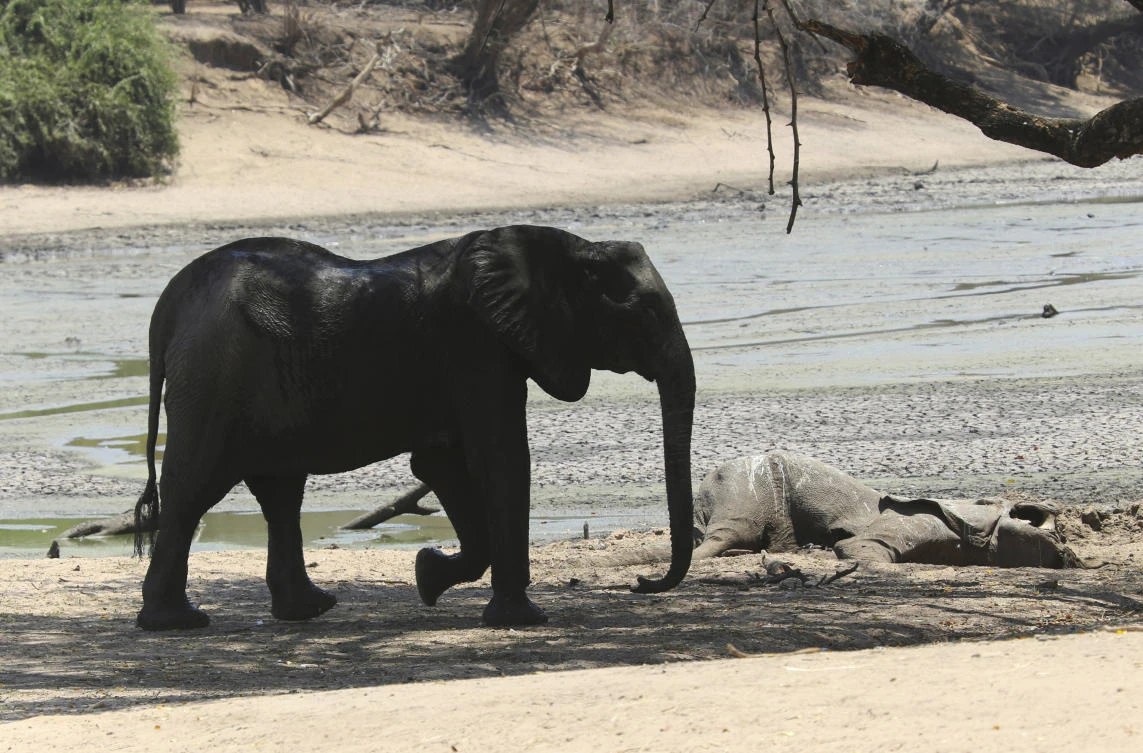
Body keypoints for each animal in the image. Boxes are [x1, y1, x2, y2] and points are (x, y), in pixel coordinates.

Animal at [132, 225, 695, 630]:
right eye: (641, 310)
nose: (641, 582)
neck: (564, 247)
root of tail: (168, 305)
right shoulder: (477, 345)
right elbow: (501, 456)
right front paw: (523, 620)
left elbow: (442, 462)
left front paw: (428, 576)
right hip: (214, 376)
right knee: (194, 489)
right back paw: (176, 623)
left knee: (280, 495)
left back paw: (309, 610)